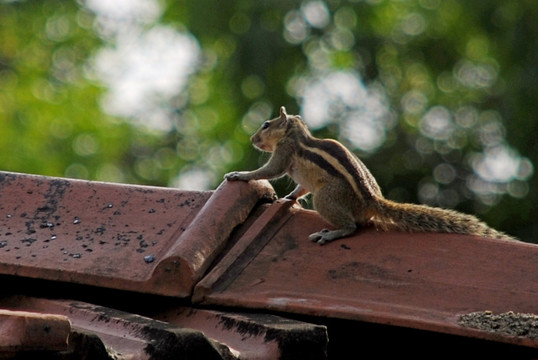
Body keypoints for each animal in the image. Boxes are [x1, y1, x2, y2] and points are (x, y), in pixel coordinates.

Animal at [223, 105, 516, 243]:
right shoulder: (302, 177)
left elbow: (268, 171)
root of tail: (372, 201)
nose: (252, 138)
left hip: (326, 198)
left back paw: (330, 234)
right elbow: (299, 189)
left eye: (266, 124)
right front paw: (288, 199)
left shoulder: (283, 153)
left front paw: (240, 175)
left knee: (351, 227)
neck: (296, 135)